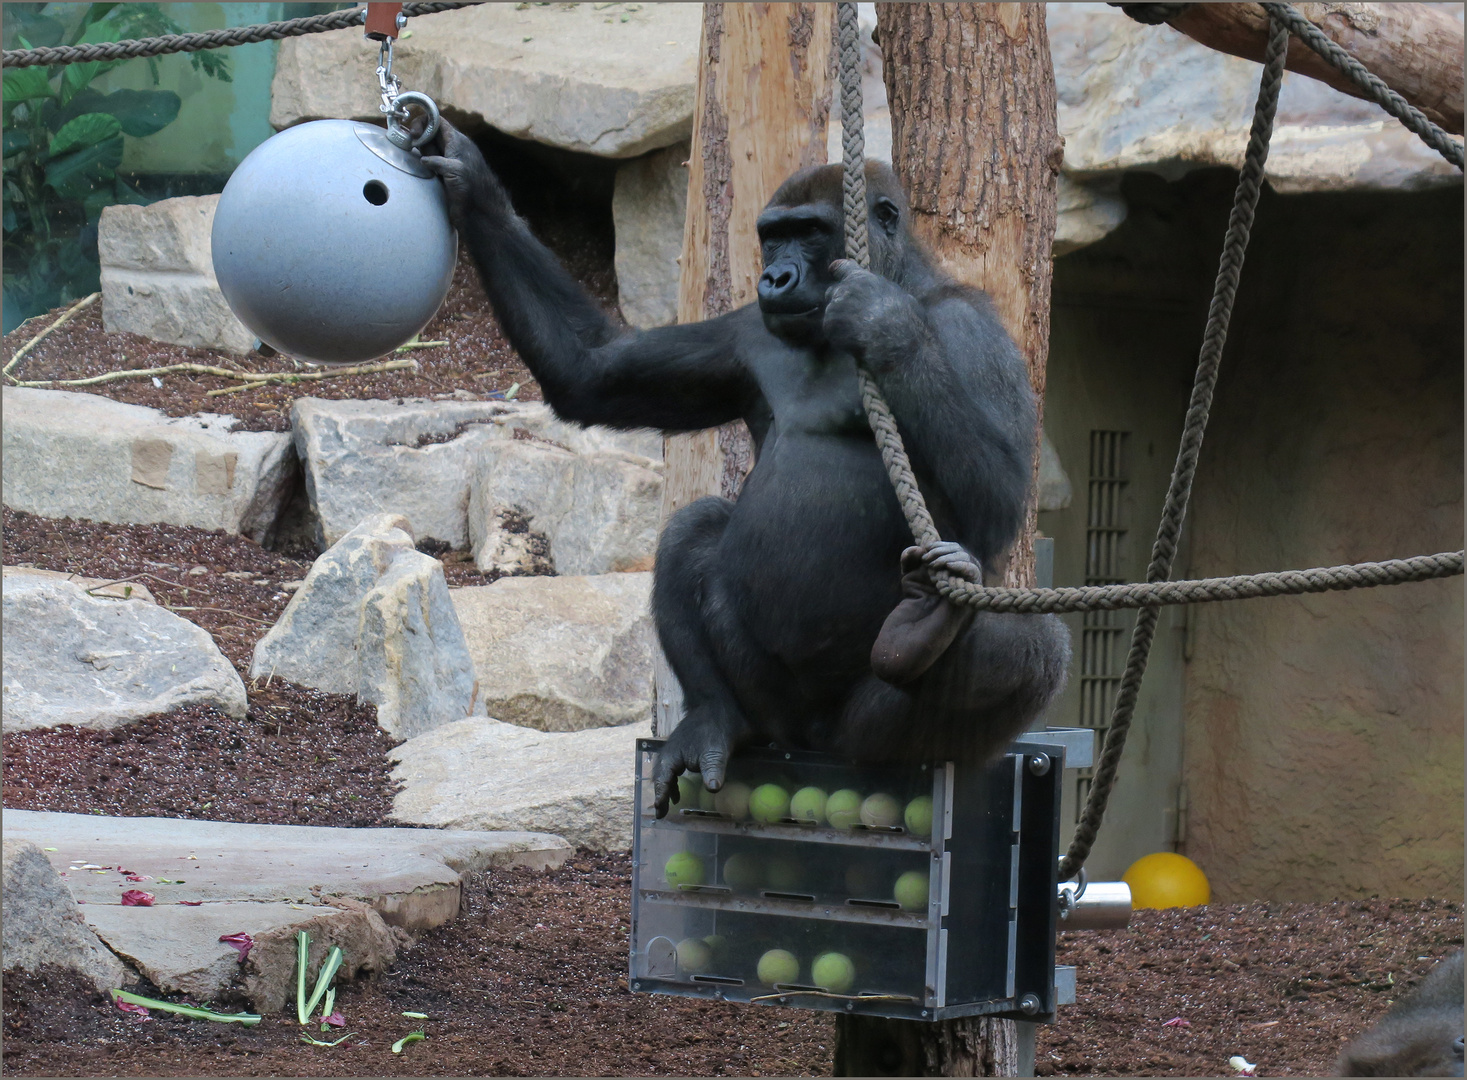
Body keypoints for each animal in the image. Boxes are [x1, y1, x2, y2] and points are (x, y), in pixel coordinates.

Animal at [419, 120, 1073, 810]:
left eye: (811, 232)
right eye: (773, 235)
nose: (777, 277)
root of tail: (815, 743)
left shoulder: (974, 328)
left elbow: (998, 502)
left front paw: (887, 322)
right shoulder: (747, 330)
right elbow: (592, 371)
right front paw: (473, 184)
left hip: (862, 734)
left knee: (1020, 645)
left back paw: (917, 657)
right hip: (776, 716)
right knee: (697, 529)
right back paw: (717, 716)